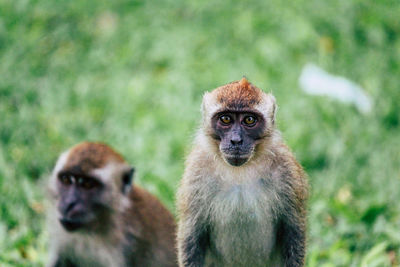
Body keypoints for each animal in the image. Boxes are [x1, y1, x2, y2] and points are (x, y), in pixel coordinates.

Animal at [176, 78, 310, 267]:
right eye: (225, 119)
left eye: (249, 120)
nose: (236, 140)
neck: (239, 172)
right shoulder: (196, 171)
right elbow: (192, 236)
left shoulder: (287, 171)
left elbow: (293, 230)